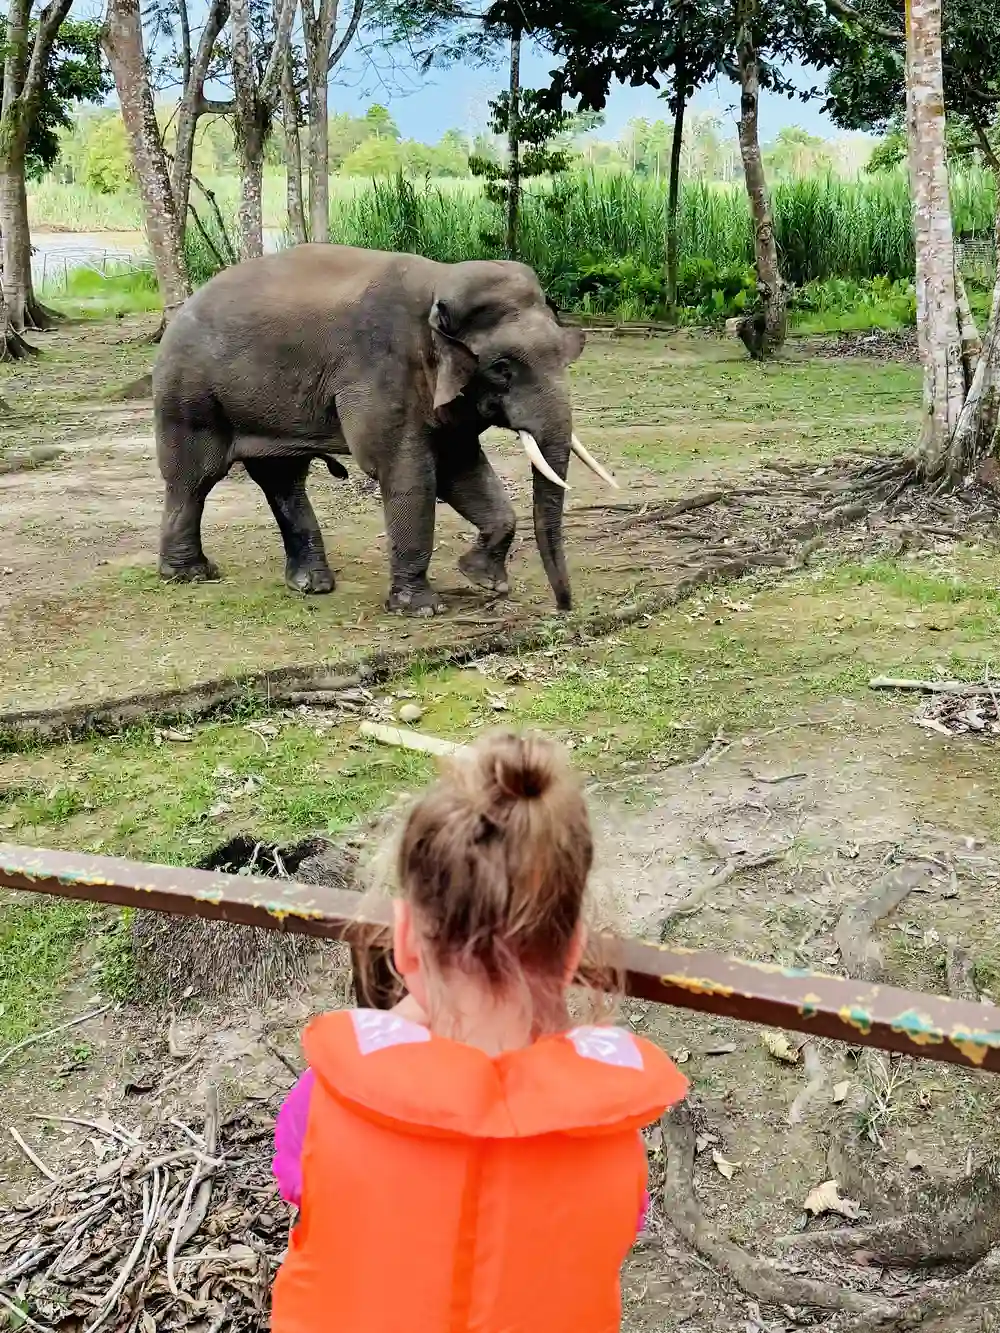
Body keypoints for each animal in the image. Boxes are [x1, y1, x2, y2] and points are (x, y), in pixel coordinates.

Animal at [152, 244, 616, 616]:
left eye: (568, 353)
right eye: (502, 368)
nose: (564, 607)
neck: (439, 281)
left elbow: (461, 469)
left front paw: (484, 579)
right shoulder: (382, 370)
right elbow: (409, 473)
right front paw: (421, 610)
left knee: (283, 478)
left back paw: (311, 585)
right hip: (189, 393)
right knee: (195, 477)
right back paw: (191, 574)